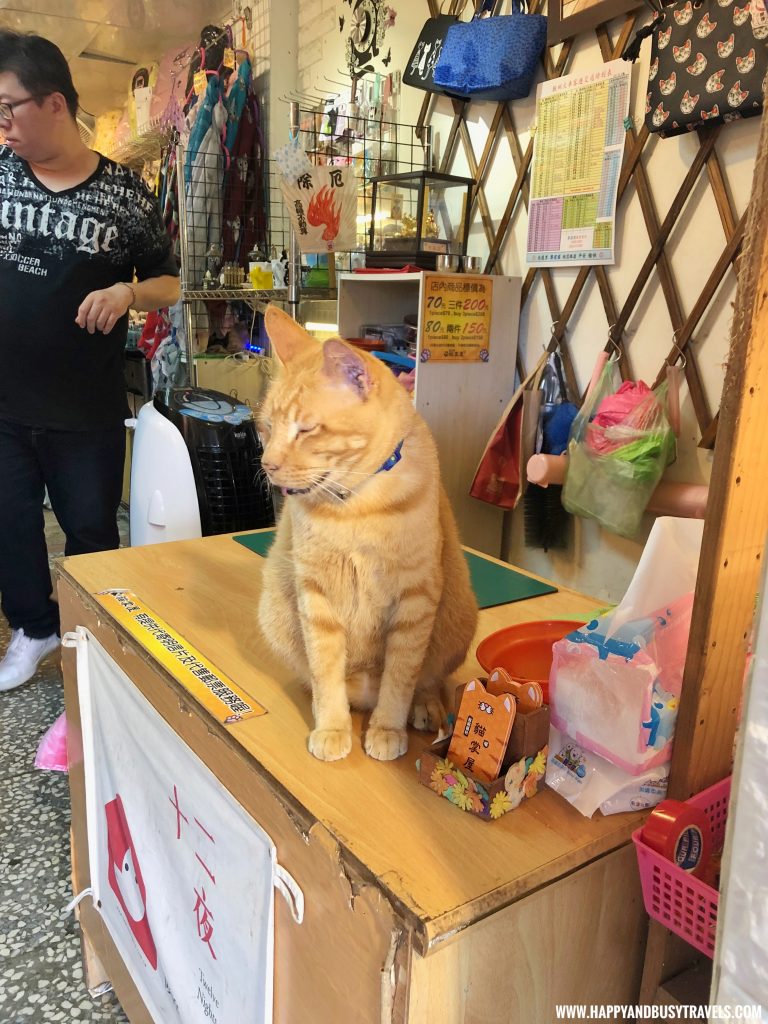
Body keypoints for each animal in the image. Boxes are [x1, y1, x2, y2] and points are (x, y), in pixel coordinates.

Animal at [259, 305, 479, 761]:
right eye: (266, 427)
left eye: (306, 429)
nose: (267, 464)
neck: (355, 507)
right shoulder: (315, 594)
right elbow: (325, 672)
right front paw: (332, 726)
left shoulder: (416, 598)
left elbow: (401, 677)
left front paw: (387, 728)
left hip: (457, 617)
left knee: (428, 680)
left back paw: (425, 708)